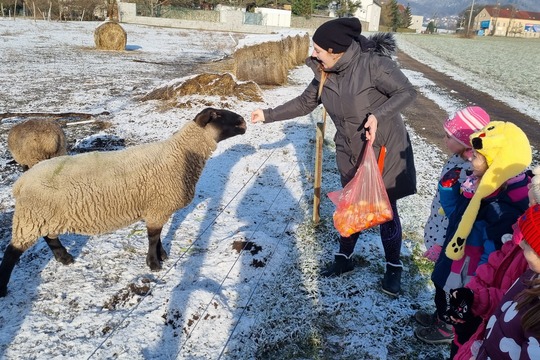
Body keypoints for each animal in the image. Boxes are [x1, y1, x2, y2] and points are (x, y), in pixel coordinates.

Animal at [0, 107, 248, 298]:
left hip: (44, 215)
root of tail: (21, 182)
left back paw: (65, 258)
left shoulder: (156, 207)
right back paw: (4, 288)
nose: (244, 122)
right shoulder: (157, 207)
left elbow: (158, 235)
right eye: (217, 114)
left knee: (50, 237)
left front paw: (162, 255)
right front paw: (154, 264)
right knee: (12, 252)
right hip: (31, 216)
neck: (179, 155)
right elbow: (153, 237)